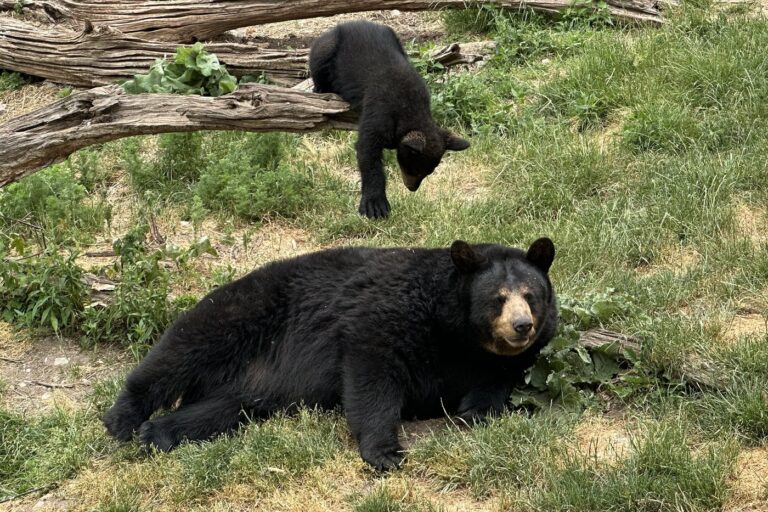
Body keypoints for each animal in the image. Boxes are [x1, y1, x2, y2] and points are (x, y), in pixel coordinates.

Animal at [102, 238, 560, 470]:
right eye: (498, 298)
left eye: (530, 295)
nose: (522, 326)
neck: (459, 332)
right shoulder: (389, 312)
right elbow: (372, 371)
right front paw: (385, 452)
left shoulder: (506, 360)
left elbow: (493, 386)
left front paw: (473, 412)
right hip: (244, 311)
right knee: (181, 349)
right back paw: (124, 418)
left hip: (248, 390)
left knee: (220, 409)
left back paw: (160, 433)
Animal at [308, 21, 472, 218]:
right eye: (413, 168)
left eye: (429, 172)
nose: (412, 188)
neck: (410, 109)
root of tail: (345, 24)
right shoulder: (379, 111)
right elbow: (368, 152)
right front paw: (375, 205)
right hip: (326, 48)